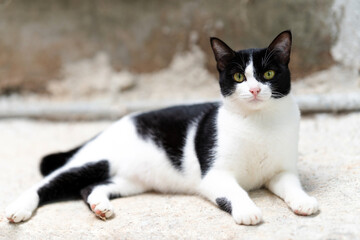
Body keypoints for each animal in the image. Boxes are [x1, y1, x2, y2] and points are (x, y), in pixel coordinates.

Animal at [5, 30, 318, 225]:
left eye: (268, 74)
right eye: (239, 77)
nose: (254, 90)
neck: (258, 122)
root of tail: (108, 128)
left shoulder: (281, 172)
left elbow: (292, 186)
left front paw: (303, 201)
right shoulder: (215, 175)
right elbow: (237, 191)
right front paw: (248, 210)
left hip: (130, 179)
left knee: (90, 187)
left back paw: (101, 207)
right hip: (95, 160)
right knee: (47, 183)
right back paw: (18, 209)